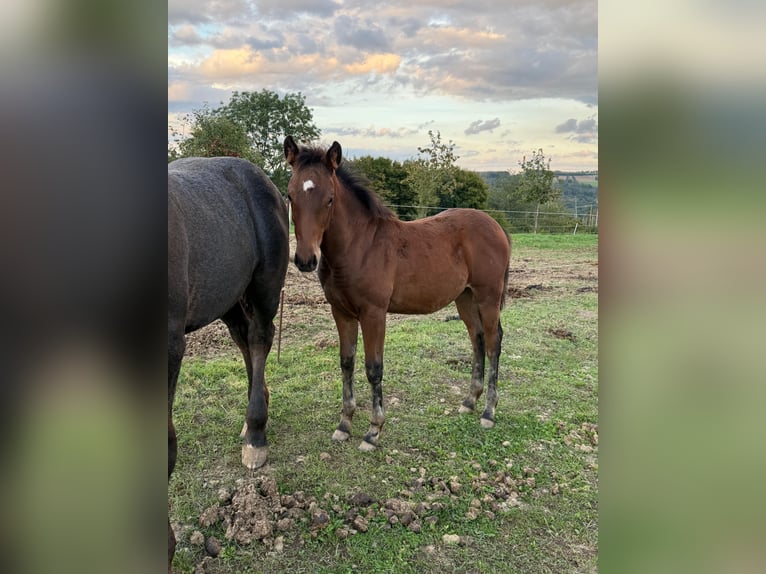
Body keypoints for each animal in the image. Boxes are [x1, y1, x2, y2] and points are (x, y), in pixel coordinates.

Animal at [283, 136, 511, 452]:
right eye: (290, 196)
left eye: (329, 199)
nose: (306, 260)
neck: (360, 246)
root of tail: (496, 227)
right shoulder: (341, 312)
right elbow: (346, 362)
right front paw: (344, 424)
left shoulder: (374, 314)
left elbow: (373, 368)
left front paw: (373, 431)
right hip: (464, 297)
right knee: (476, 339)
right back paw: (469, 401)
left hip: (488, 296)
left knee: (492, 342)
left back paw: (489, 411)